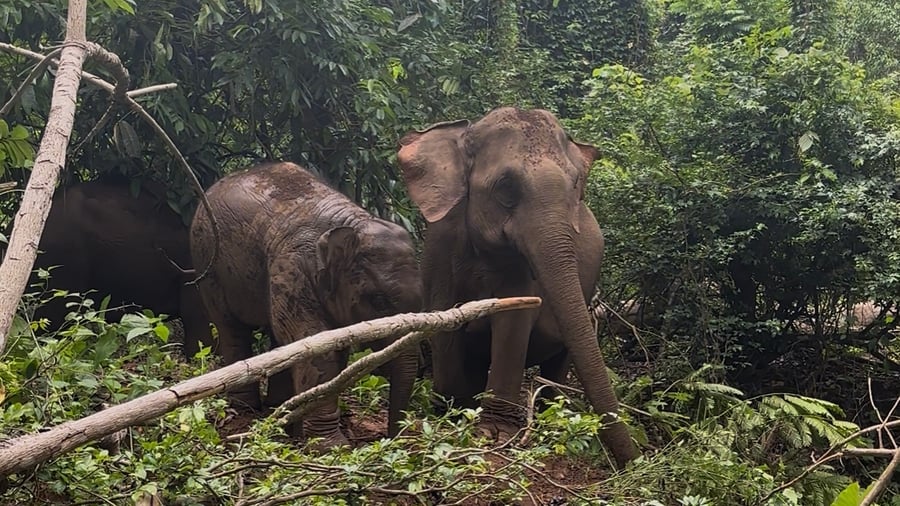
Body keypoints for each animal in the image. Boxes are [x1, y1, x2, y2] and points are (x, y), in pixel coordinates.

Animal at [189, 161, 421, 447]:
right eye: (378, 301)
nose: (393, 438)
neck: (352, 221)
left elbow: (328, 347)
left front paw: (301, 433)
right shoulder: (291, 269)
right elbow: (317, 349)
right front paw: (331, 446)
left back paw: (278, 409)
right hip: (207, 263)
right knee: (233, 329)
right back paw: (245, 410)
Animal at [397, 106, 639, 468]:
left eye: (576, 187)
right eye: (506, 188)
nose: (637, 461)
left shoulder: (520, 271)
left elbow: (513, 323)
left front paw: (493, 432)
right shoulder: (438, 249)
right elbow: (443, 321)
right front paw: (453, 411)